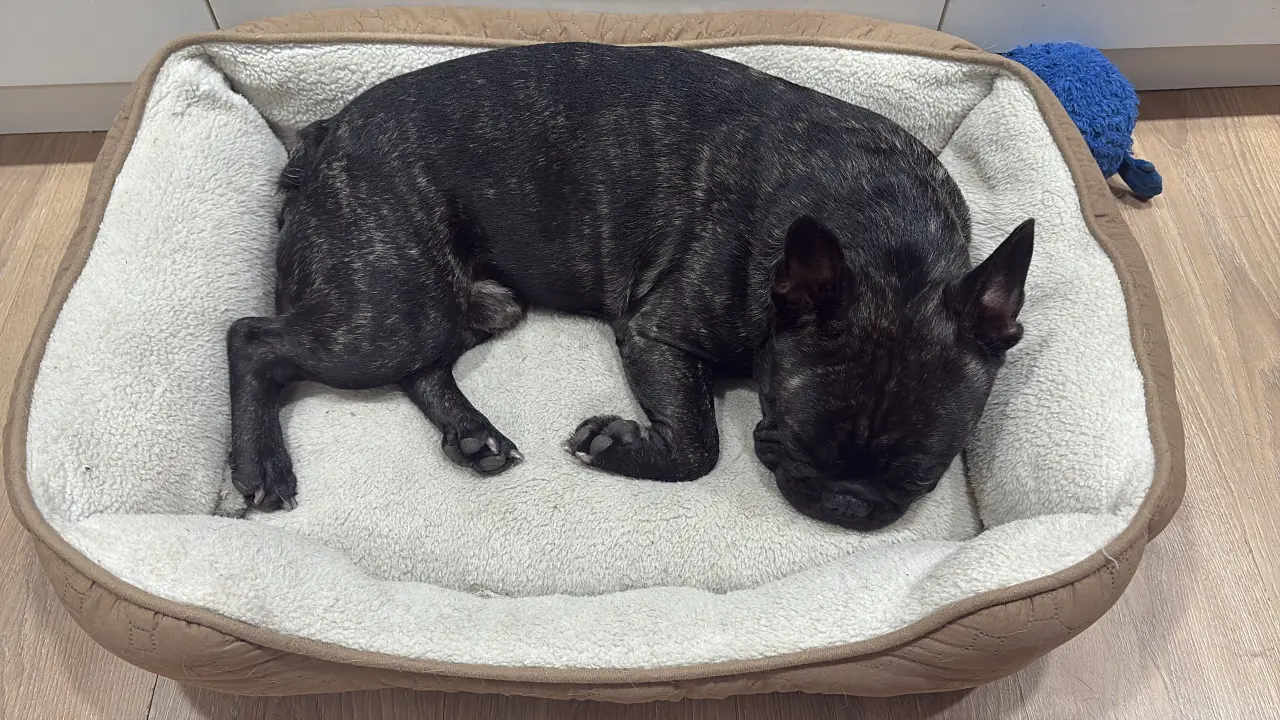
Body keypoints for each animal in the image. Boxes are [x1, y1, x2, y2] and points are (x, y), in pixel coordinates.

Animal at [227, 42, 1034, 531]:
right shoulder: (658, 330)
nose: (848, 503)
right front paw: (622, 446)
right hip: (392, 307)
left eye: (923, 474)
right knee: (254, 340)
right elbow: (701, 445)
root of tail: (322, 138)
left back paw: (473, 435)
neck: (888, 247)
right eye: (800, 442)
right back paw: (258, 463)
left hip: (456, 303)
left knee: (422, 366)